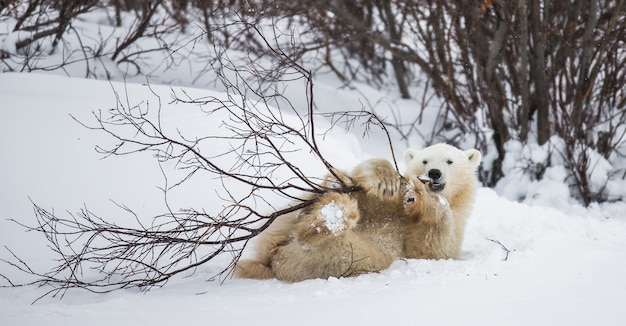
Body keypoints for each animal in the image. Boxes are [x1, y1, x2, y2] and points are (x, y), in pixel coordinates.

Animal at [234, 143, 478, 282]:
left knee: (343, 251)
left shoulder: (454, 228)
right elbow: (366, 188)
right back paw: (332, 201)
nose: (434, 173)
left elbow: (433, 246)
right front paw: (385, 177)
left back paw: (327, 222)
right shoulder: (383, 203)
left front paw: (417, 193)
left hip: (343, 257)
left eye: (449, 161)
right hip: (286, 221)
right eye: (425, 160)